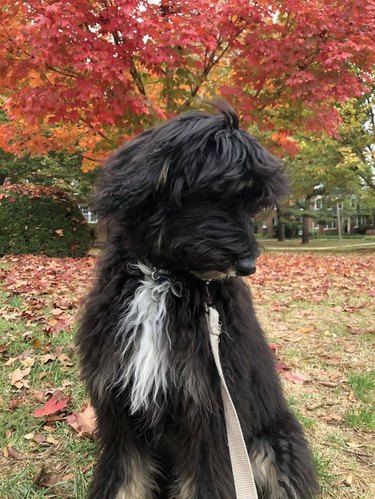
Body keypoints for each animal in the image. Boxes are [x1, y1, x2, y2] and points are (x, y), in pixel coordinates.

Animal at [78, 102, 318, 499]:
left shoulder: (211, 415)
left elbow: (204, 482)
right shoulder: (120, 410)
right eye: (219, 191)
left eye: (253, 206)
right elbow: (124, 477)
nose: (248, 266)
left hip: (274, 446)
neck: (164, 278)